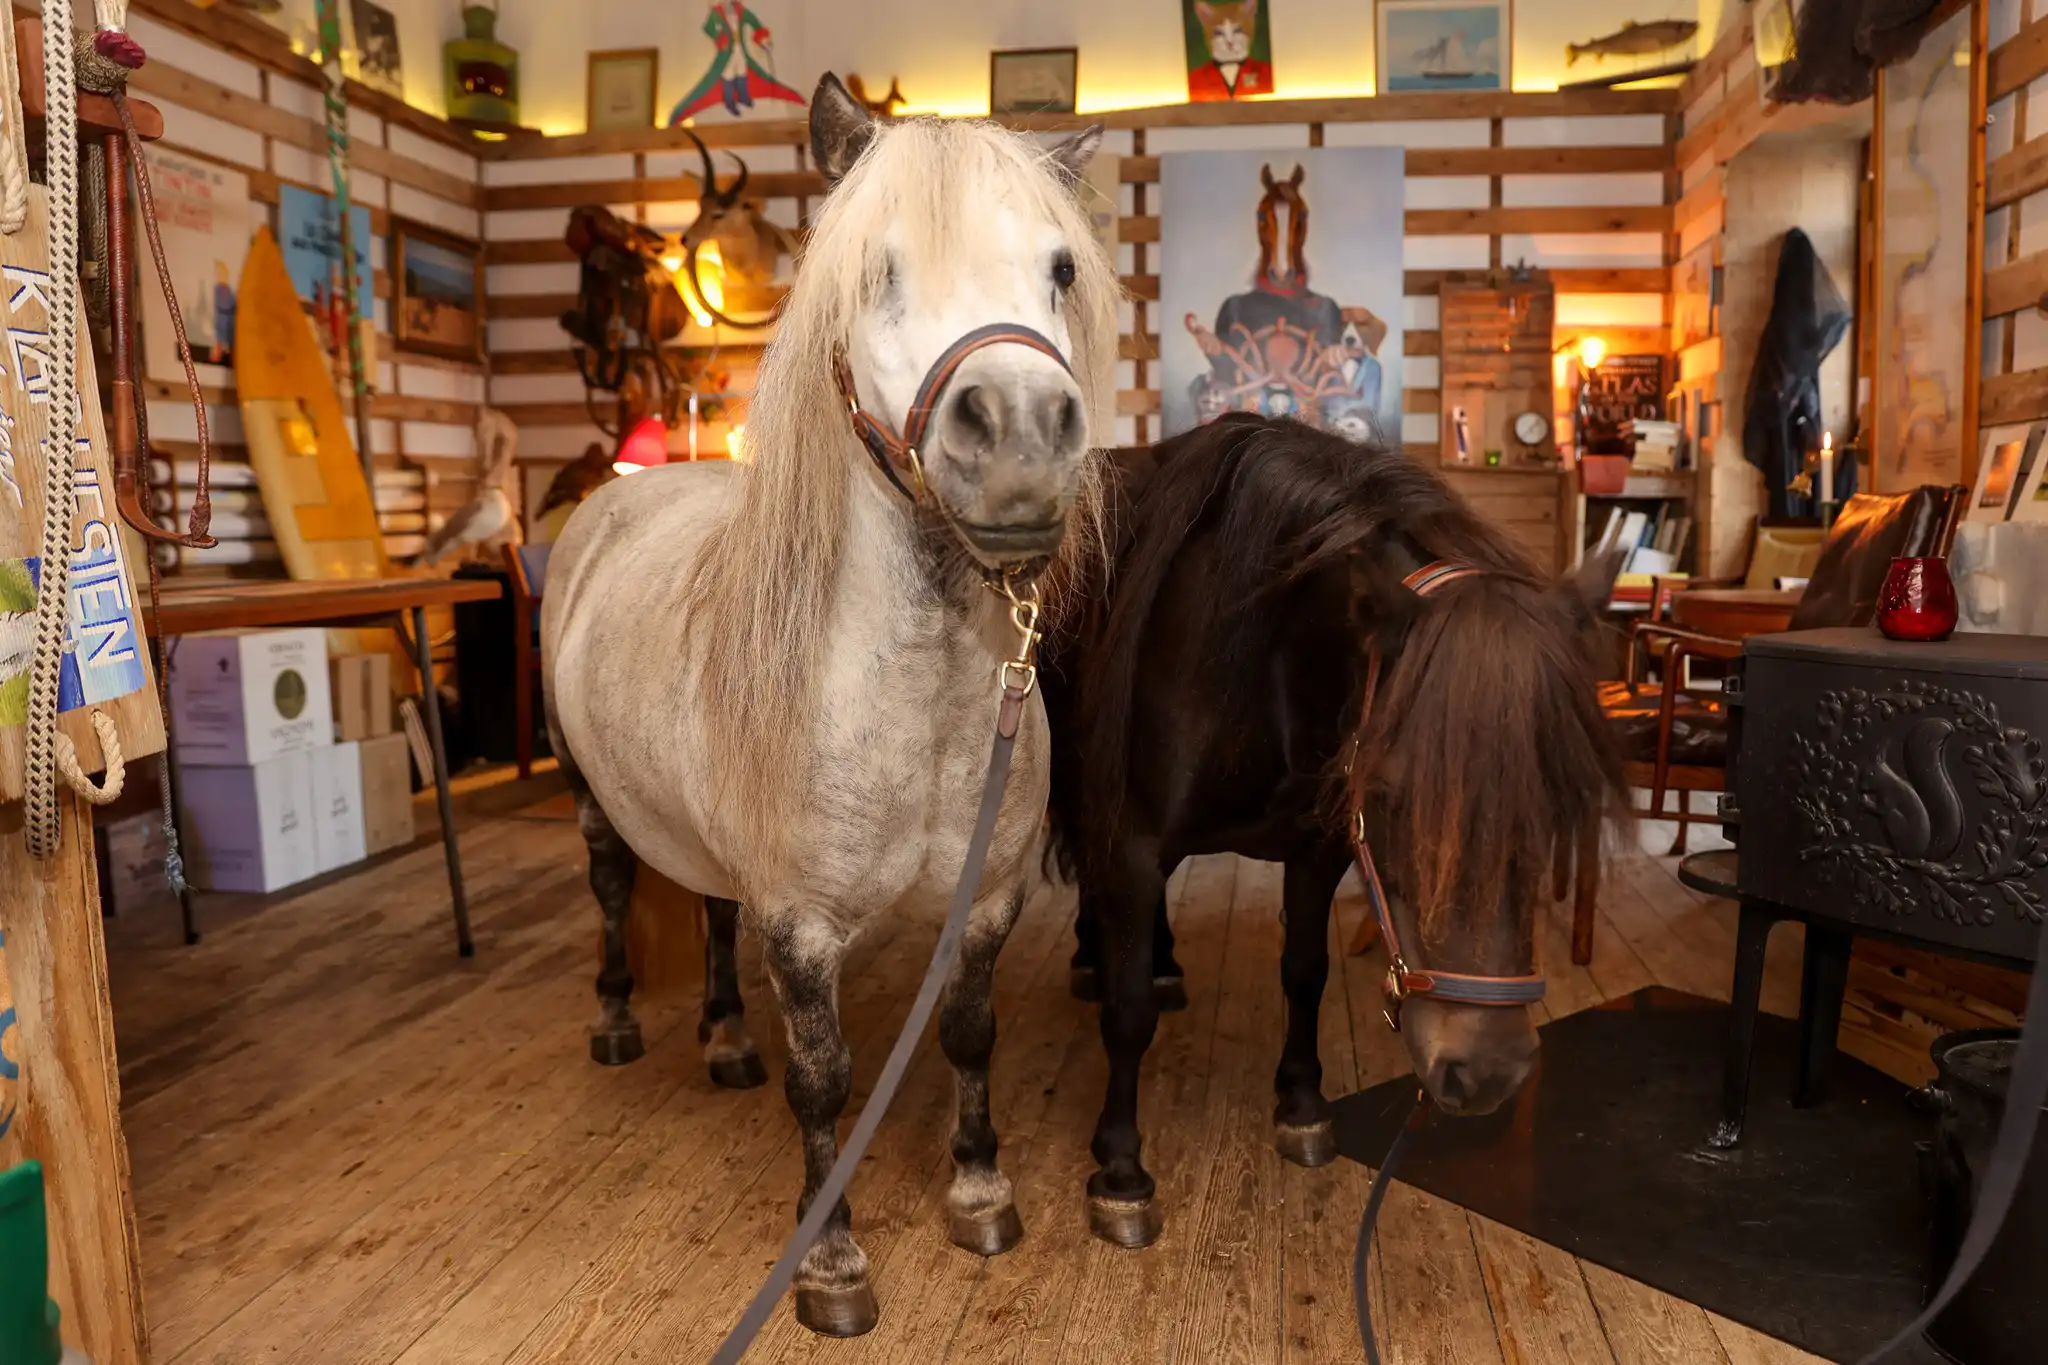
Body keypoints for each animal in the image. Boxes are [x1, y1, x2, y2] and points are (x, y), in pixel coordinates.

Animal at [541, 74, 1117, 1337]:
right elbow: (825, 1080)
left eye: (1059, 266)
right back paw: (613, 1022)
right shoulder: (800, 928)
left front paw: (978, 1195)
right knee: (612, 890)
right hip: (591, 800)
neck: (918, 703)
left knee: (709, 913)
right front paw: (832, 1263)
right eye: (873, 269)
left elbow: (966, 1034)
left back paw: (720, 1041)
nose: (1017, 440)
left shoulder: (983, 903)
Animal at [1041, 414, 1625, 1246]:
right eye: (1390, 795)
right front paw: (1120, 1169)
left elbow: (1305, 971)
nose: (1490, 1071)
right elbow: (1127, 1015)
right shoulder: (1132, 843)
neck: (1266, 664)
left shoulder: (1317, 850)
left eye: (1556, 797)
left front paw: (1302, 1105)